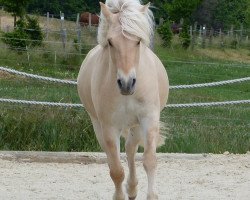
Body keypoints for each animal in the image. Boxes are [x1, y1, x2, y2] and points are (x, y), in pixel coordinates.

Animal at [77, 0, 169, 199]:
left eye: (138, 41)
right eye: (111, 42)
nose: (127, 83)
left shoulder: (149, 119)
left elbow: (149, 161)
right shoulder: (110, 127)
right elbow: (117, 171)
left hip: (136, 126)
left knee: (130, 149)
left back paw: (133, 189)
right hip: (99, 126)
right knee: (116, 158)